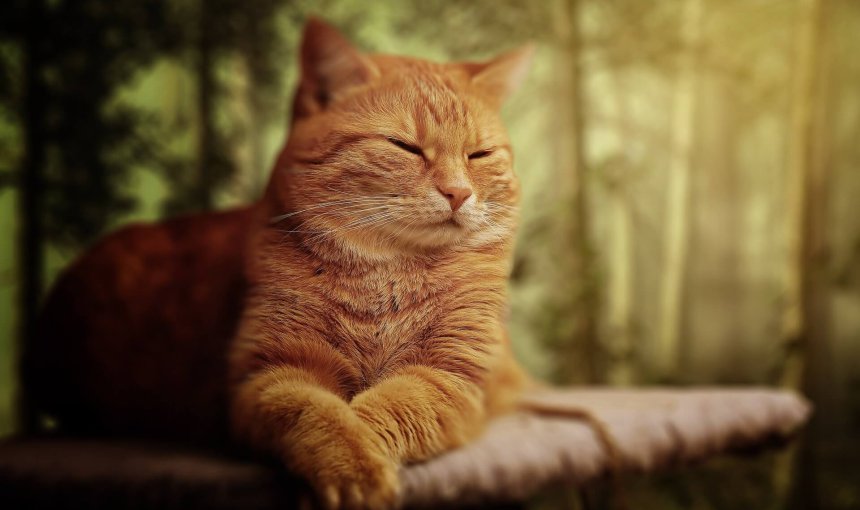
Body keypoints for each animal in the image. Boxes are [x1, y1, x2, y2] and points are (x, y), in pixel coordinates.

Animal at [23, 17, 536, 508]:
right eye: (403, 146)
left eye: (479, 154)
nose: (458, 193)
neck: (386, 275)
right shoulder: (270, 374)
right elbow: (324, 416)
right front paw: (352, 469)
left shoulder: (450, 378)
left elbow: (386, 409)